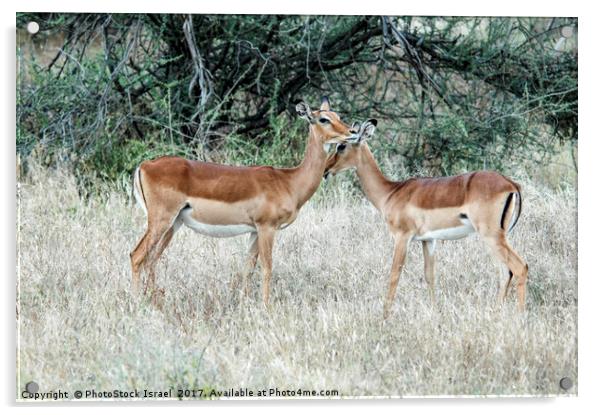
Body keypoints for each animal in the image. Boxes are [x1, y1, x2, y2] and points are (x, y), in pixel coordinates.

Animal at [130, 96, 356, 306]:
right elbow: (267, 267)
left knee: (151, 259)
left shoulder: (254, 231)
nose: (352, 132)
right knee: (137, 256)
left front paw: (244, 304)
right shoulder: (267, 227)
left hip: (173, 224)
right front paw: (266, 307)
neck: (288, 181)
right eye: (323, 119)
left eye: (338, 116)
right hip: (161, 221)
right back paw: (138, 303)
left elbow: (248, 267)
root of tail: (145, 165)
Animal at [326, 120, 528, 318]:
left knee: (519, 267)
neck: (391, 192)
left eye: (342, 145)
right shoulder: (429, 240)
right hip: (497, 238)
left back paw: (519, 317)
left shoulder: (402, 237)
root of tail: (511, 184)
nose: (326, 170)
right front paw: (434, 312)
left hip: (491, 236)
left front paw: (384, 316)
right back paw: (496, 313)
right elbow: (429, 275)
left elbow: (394, 274)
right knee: (505, 272)